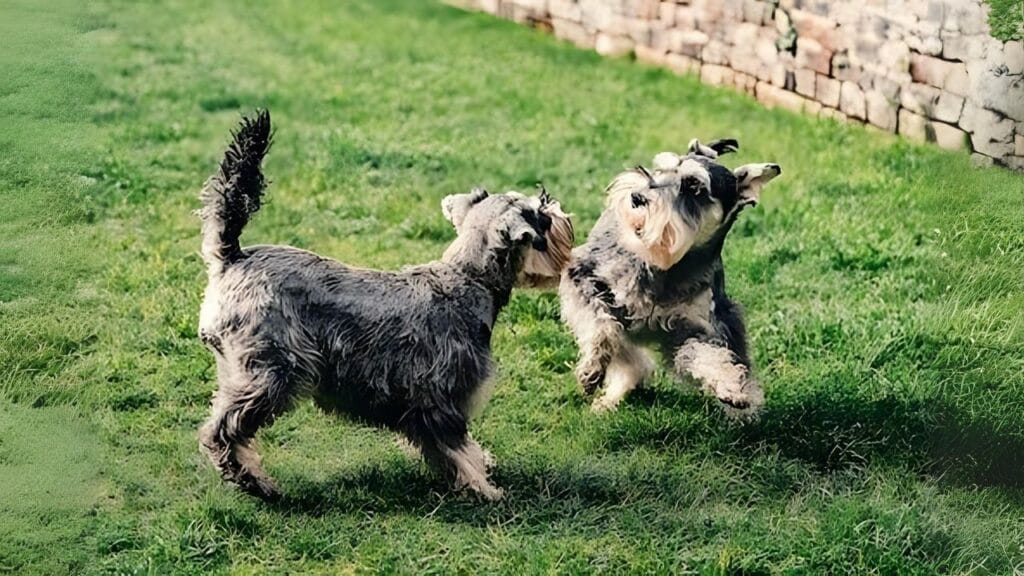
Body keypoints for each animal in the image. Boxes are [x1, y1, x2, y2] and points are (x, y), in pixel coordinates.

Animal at [194, 111, 573, 498]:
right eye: (537, 214)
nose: (556, 207)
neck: (469, 278)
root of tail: (232, 257)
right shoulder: (442, 398)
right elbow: (457, 448)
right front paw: (483, 488)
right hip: (273, 374)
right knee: (223, 431)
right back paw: (256, 481)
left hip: (240, 371)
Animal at [557, 136, 778, 414]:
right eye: (662, 169)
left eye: (694, 186)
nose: (637, 197)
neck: (666, 265)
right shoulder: (583, 277)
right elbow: (602, 326)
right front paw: (591, 369)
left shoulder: (696, 328)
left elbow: (709, 355)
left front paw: (731, 387)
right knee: (628, 356)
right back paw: (608, 398)